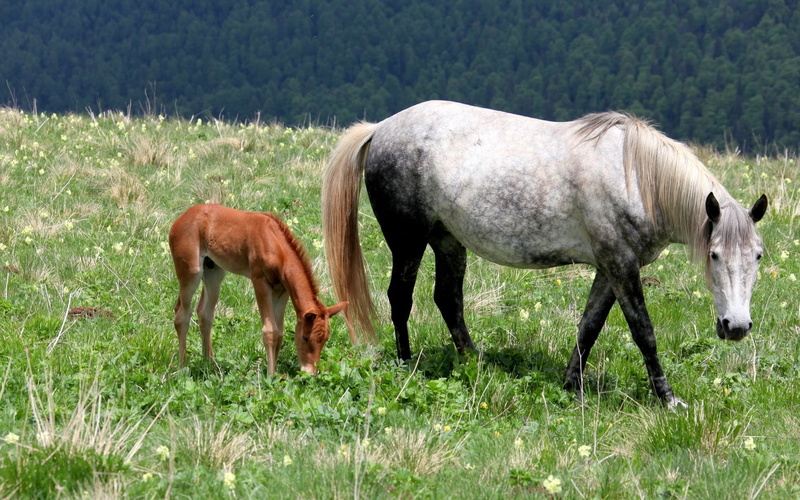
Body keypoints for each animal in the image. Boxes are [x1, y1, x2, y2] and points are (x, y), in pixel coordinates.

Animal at [169, 204, 347, 375]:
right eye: (304, 338)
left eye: (325, 339)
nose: (310, 372)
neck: (275, 243)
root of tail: (181, 218)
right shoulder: (260, 282)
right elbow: (270, 331)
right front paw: (270, 376)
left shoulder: (282, 290)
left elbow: (280, 332)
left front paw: (276, 372)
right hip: (191, 272)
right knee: (181, 315)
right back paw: (182, 367)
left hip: (214, 272)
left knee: (205, 313)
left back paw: (209, 363)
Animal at [322, 100, 767, 408]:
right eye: (713, 255)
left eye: (759, 256)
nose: (736, 326)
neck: (636, 177)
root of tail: (381, 128)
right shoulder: (621, 265)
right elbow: (644, 332)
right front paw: (668, 399)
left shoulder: (610, 268)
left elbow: (589, 326)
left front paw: (573, 385)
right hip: (408, 241)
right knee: (401, 298)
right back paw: (406, 364)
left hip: (448, 240)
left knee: (448, 299)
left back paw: (476, 362)